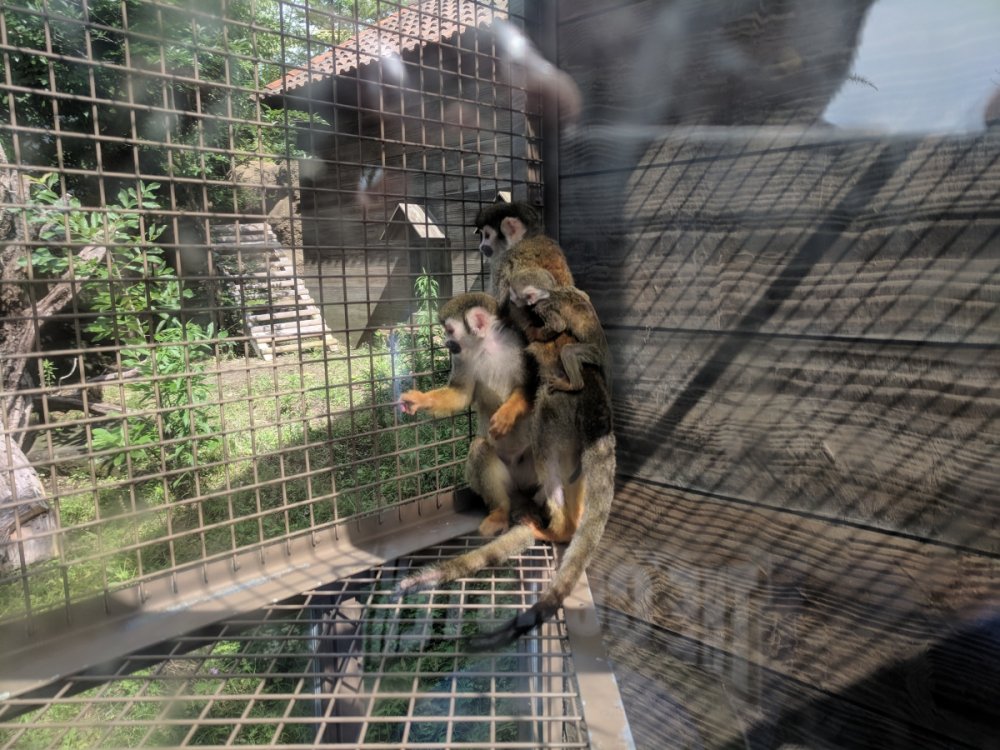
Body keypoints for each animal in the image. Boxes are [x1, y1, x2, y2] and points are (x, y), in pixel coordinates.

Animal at [399, 292, 535, 538]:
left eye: (450, 330)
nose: (446, 343)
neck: (488, 345)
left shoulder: (521, 345)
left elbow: (530, 386)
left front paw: (508, 413)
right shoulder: (462, 358)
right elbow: (460, 394)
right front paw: (420, 400)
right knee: (481, 449)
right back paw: (500, 512)